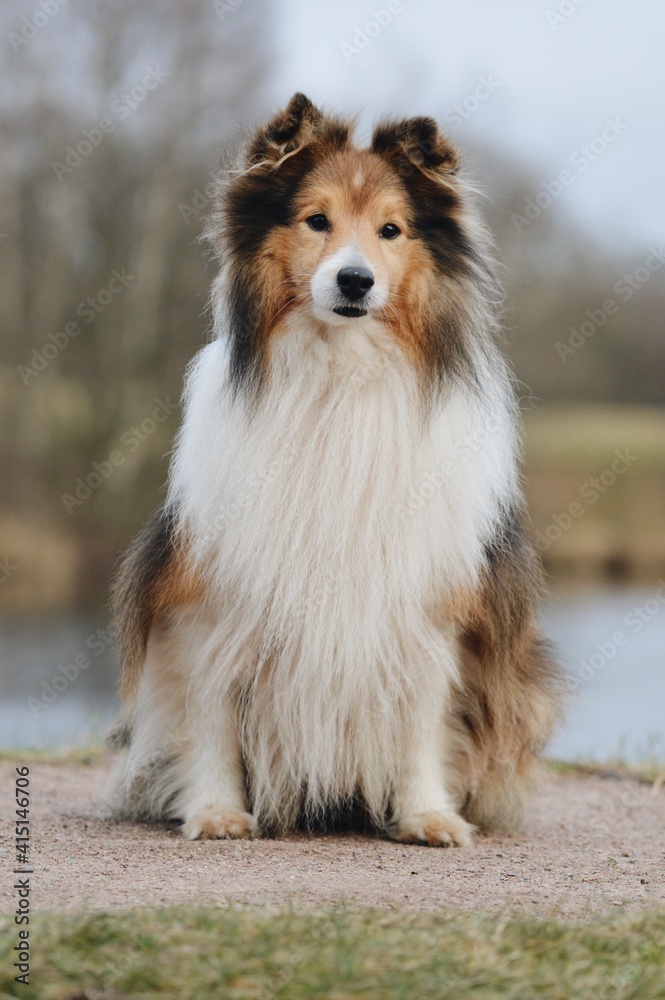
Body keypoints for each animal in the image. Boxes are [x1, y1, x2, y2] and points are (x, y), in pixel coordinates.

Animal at [107, 92, 560, 844]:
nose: (355, 279)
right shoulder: (208, 595)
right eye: (315, 220)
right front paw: (217, 810)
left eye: (391, 230)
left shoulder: (429, 605)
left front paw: (428, 815)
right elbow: (209, 711)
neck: (341, 373)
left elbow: (425, 717)